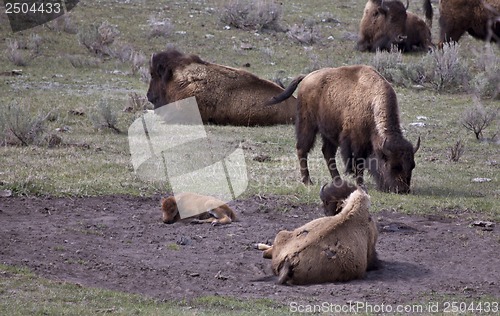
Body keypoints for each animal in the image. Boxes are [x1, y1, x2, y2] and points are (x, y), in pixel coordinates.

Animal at [268, 65, 420, 194]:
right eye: (393, 166)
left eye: (412, 165)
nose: (403, 190)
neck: (372, 103)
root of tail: (307, 77)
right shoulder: (356, 141)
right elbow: (358, 163)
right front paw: (361, 185)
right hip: (308, 125)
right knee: (302, 149)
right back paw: (307, 181)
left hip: (328, 133)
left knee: (327, 152)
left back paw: (337, 180)